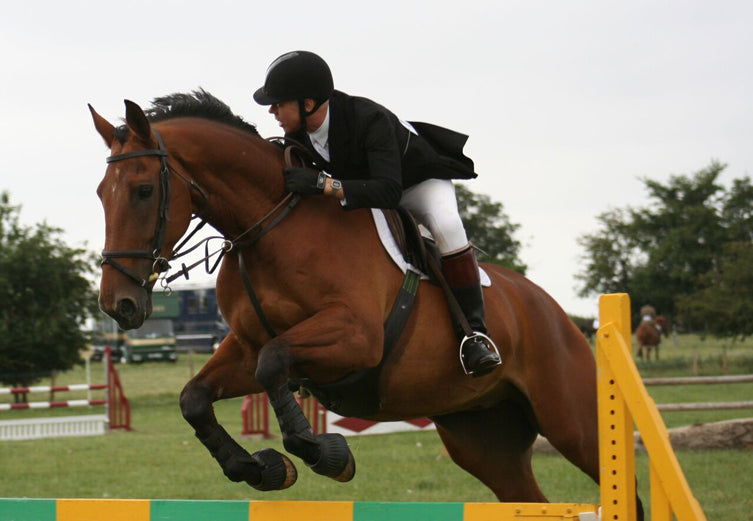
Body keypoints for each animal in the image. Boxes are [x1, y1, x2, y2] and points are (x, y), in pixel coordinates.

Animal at [89, 90, 601, 503]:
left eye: (143, 190)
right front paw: (262, 469)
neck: (269, 226)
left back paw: (479, 348)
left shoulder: (356, 337)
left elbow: (273, 363)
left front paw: (326, 454)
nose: (119, 305)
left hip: (574, 424)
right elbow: (195, 397)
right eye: (100, 194)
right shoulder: (246, 345)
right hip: (482, 436)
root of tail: (553, 310)